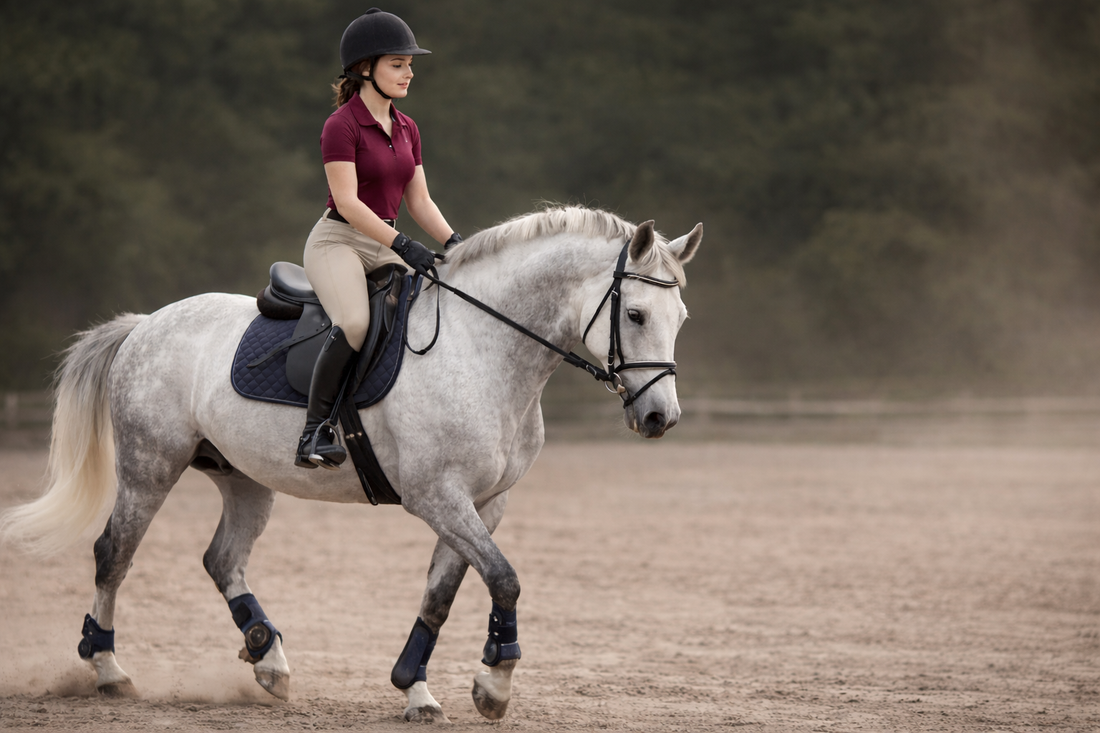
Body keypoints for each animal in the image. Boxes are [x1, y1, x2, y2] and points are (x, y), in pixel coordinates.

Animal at [0, 205, 702, 723]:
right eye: (635, 313)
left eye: (681, 317)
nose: (659, 418)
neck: (484, 350)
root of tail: (147, 324)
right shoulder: (438, 497)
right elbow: (504, 579)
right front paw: (496, 683)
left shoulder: (483, 503)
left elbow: (442, 594)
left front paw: (416, 689)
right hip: (151, 466)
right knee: (114, 554)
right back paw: (109, 670)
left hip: (243, 479)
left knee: (222, 560)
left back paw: (268, 659)